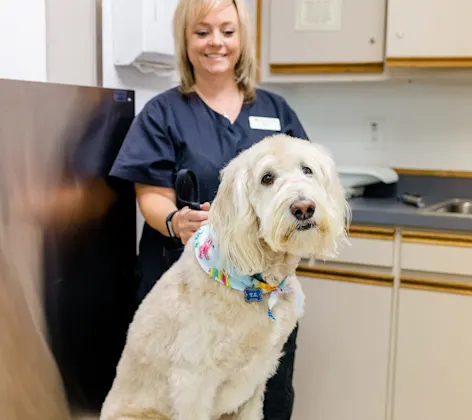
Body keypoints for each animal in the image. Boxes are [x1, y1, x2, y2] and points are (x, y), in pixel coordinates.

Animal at [99, 135, 350, 420]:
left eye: (307, 170)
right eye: (267, 178)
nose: (304, 208)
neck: (258, 284)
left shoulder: (256, 380)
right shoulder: (192, 381)